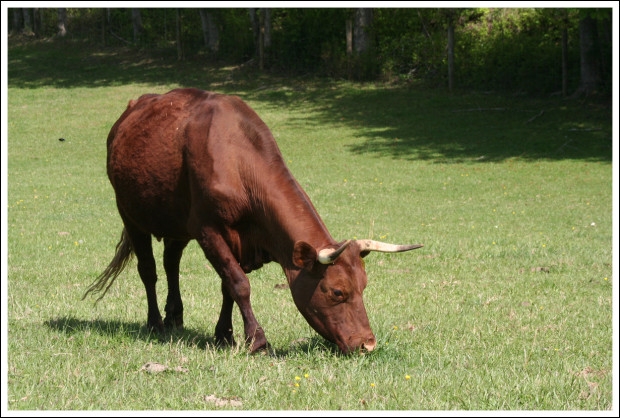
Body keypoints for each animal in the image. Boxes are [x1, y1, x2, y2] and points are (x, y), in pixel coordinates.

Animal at [83, 87, 422, 352]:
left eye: (364, 286)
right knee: (149, 271)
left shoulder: (238, 240)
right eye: (337, 292)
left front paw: (225, 334)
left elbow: (227, 286)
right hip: (130, 215)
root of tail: (130, 112)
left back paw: (174, 316)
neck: (239, 163)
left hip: (175, 223)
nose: (368, 344)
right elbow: (238, 283)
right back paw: (155, 322)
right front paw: (257, 340)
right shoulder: (208, 230)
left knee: (171, 264)